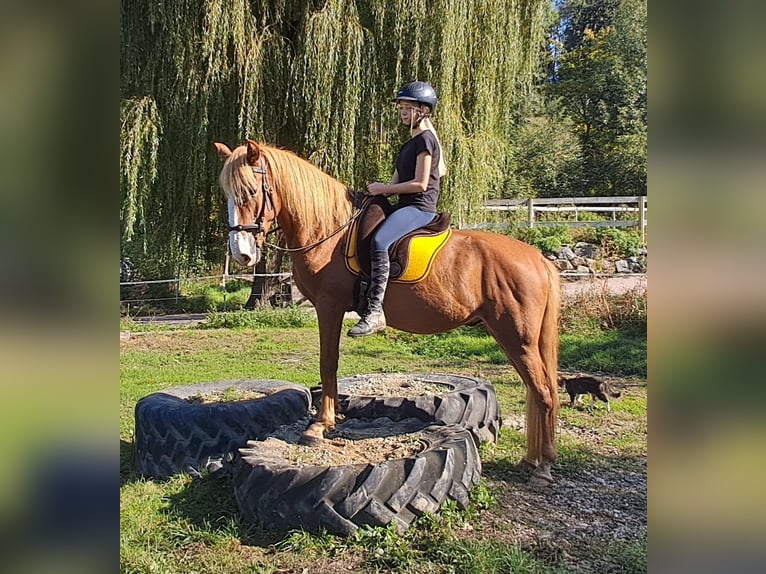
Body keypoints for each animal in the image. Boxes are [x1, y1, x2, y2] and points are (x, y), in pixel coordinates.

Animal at [213, 140, 560, 486]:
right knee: (535, 389)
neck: (329, 231)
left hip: (518, 337)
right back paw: (532, 460)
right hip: (507, 335)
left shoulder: (329, 307)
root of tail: (537, 258)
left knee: (543, 392)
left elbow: (328, 363)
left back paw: (543, 467)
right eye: (227, 193)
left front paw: (319, 425)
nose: (241, 253)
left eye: (250, 191)